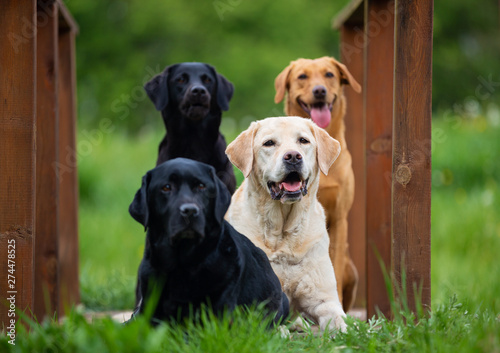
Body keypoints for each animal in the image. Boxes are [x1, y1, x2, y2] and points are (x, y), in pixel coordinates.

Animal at [225, 117, 346, 332]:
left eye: (303, 141)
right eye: (269, 143)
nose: (293, 157)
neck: (283, 234)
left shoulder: (325, 300)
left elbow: (342, 324)